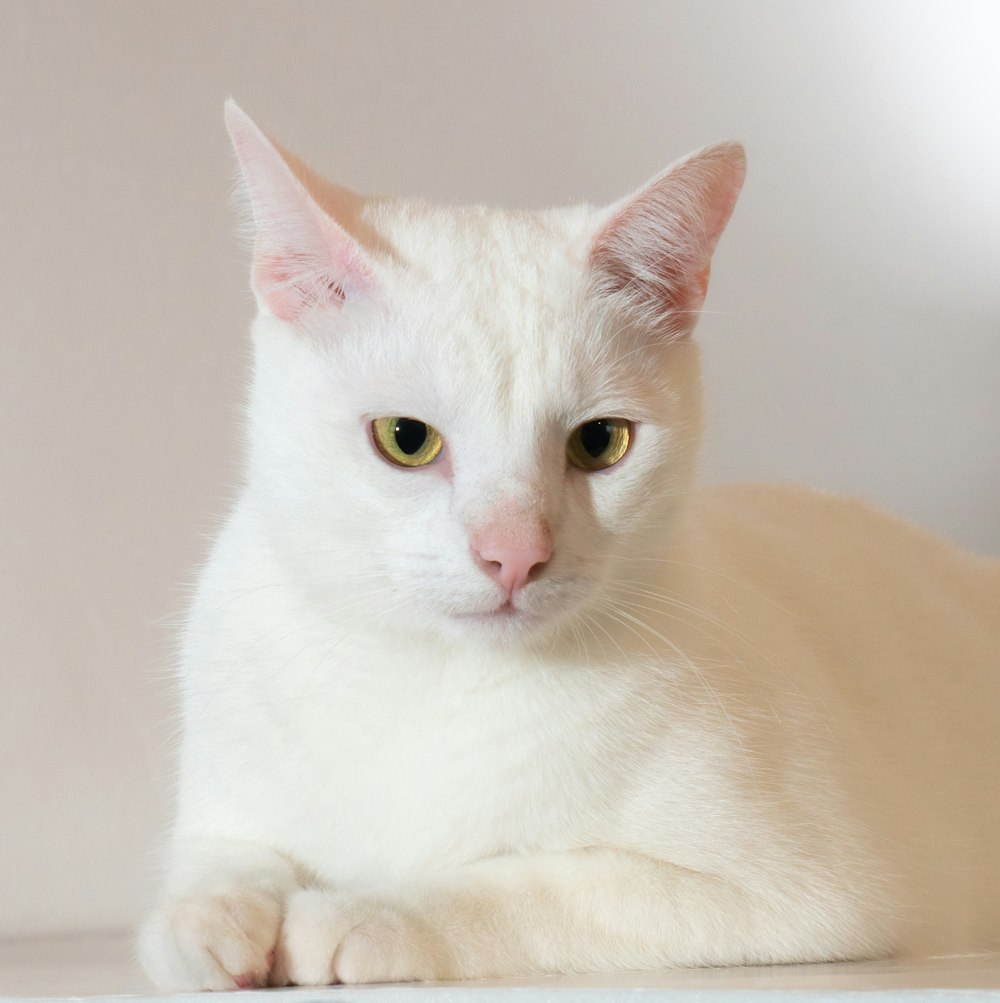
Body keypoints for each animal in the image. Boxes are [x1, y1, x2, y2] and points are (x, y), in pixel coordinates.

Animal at [134, 101, 998, 986]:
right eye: (406, 438)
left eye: (600, 442)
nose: (513, 552)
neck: (429, 676)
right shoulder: (226, 808)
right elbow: (221, 862)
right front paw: (211, 919)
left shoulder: (796, 892)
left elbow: (525, 883)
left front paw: (366, 912)